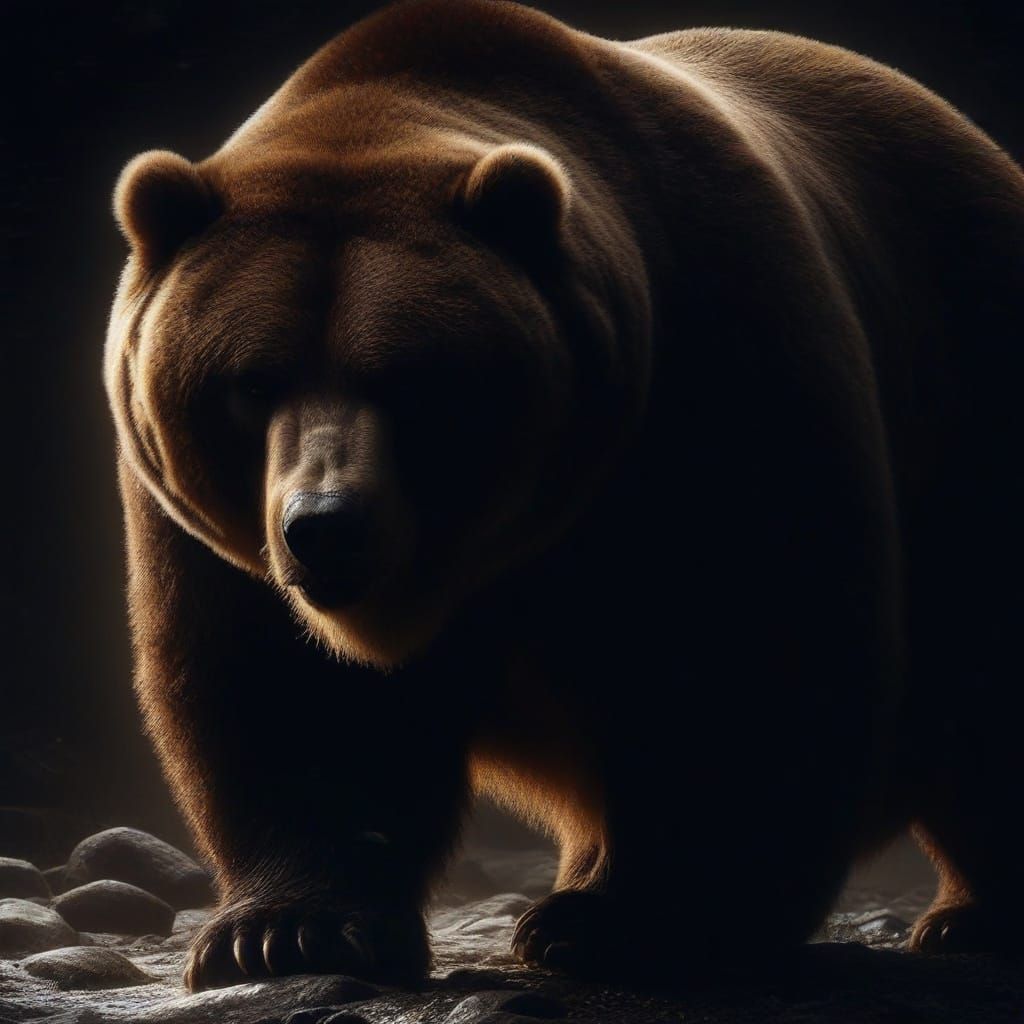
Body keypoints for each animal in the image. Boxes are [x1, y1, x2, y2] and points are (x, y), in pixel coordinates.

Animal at [105, 0, 1024, 991]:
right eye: (251, 381)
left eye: (412, 382)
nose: (327, 526)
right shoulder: (211, 536)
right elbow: (285, 690)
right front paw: (285, 931)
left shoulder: (723, 365)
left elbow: (745, 649)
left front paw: (641, 921)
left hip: (970, 396)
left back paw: (970, 914)